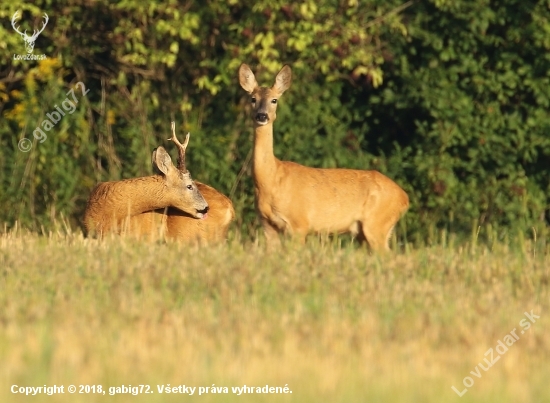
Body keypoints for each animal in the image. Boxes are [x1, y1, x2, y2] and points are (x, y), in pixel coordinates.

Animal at [239, 63, 412, 251]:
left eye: (274, 100)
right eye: (253, 99)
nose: (262, 116)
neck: (271, 180)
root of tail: (404, 197)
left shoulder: (299, 223)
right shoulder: (267, 225)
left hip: (377, 224)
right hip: (365, 232)